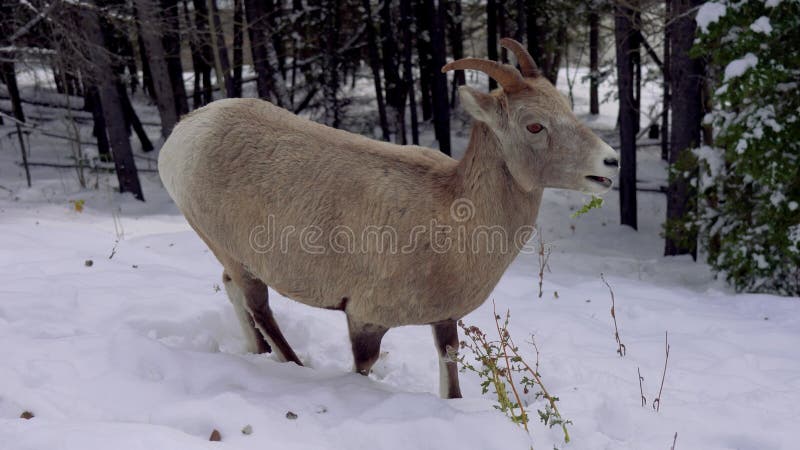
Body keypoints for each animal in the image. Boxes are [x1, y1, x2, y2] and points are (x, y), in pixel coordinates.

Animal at [156, 37, 620, 398]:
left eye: (566, 107)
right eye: (535, 126)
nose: (610, 162)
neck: (454, 220)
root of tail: (185, 133)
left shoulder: (443, 320)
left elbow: (450, 380)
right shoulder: (365, 319)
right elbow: (363, 368)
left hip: (234, 260)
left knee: (234, 293)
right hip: (236, 256)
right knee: (259, 308)